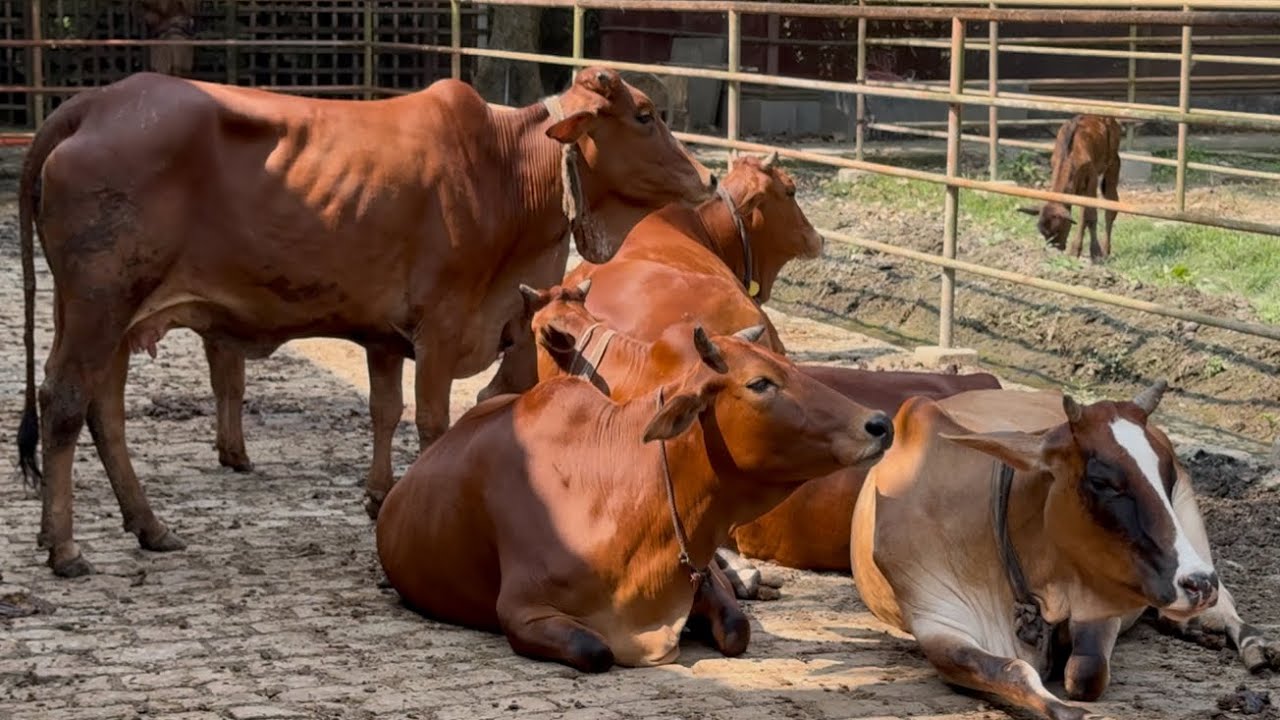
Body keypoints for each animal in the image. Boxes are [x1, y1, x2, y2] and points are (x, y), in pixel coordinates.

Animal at [16, 66, 715, 578]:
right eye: (645, 114)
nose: (707, 176)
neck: (505, 168)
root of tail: (97, 103)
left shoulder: (387, 335)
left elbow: (384, 411)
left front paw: (381, 498)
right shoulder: (441, 326)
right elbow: (431, 422)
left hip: (115, 318)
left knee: (105, 412)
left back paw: (149, 526)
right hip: (98, 304)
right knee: (65, 402)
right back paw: (65, 547)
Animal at [375, 323, 895, 671]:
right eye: (760, 382)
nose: (880, 423)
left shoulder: (700, 574)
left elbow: (737, 629)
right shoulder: (523, 610)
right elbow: (596, 650)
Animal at [851, 382, 1280, 720]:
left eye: (1167, 474)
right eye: (1101, 480)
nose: (1198, 584)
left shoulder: (1102, 601)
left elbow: (1085, 673)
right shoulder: (937, 627)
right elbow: (1013, 671)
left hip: (1192, 528)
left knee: (1228, 606)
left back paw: (1252, 644)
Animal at [1018, 114, 1121, 262]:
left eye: (1058, 229)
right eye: (1044, 234)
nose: (1058, 248)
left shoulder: (1092, 178)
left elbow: (1091, 216)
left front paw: (1095, 252)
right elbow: (1083, 215)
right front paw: (1076, 251)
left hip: (1113, 163)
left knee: (1111, 207)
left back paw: (1106, 250)